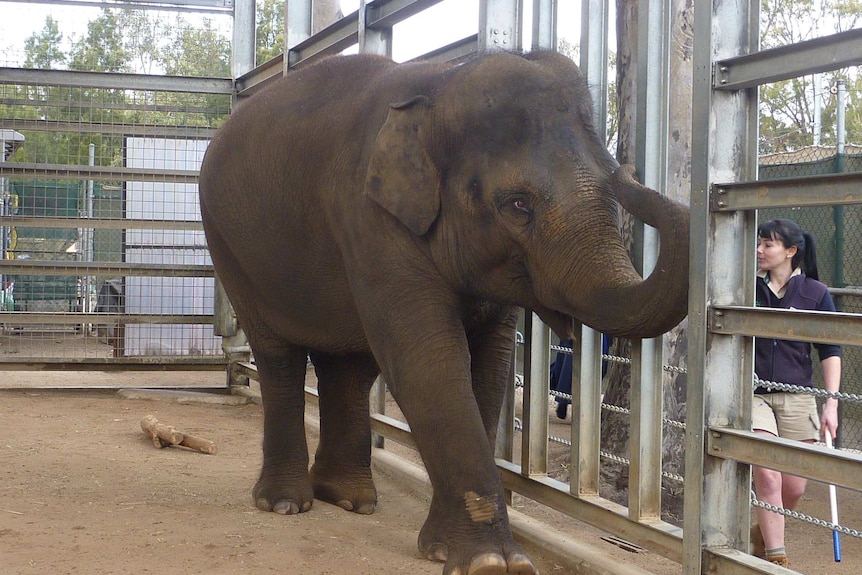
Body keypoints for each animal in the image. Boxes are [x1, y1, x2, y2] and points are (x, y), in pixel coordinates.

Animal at [199, 50, 692, 575]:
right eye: (517, 205)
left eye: (609, 190)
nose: (629, 172)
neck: (440, 84)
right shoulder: (370, 220)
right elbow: (428, 363)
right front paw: (492, 562)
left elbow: (491, 369)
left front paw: (446, 551)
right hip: (230, 247)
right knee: (279, 357)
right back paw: (286, 503)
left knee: (350, 366)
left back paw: (349, 499)